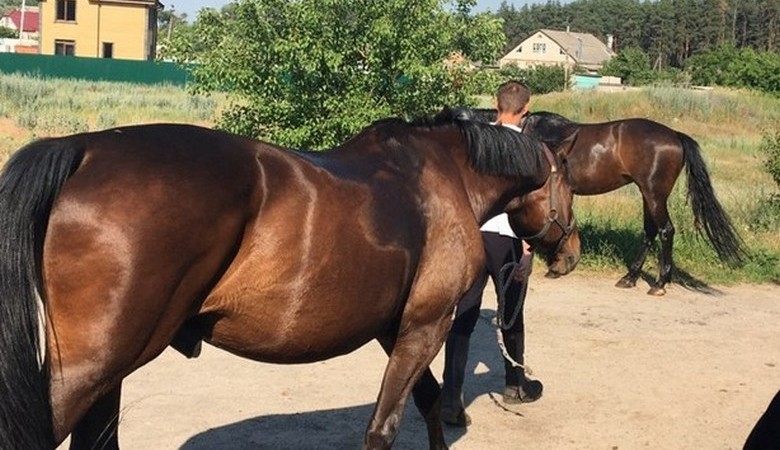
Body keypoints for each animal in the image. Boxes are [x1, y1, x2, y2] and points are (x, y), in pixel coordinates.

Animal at [1, 111, 580, 450]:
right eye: (570, 182)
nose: (571, 253)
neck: (443, 176)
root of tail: (84, 148)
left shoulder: (398, 328)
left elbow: (430, 400)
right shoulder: (426, 325)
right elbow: (384, 426)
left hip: (110, 369)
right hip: (90, 369)